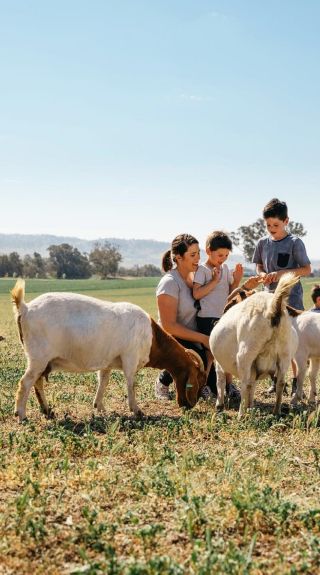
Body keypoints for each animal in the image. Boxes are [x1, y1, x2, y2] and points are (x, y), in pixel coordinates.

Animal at [210, 272, 300, 416]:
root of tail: (272, 307)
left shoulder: (219, 364)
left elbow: (221, 381)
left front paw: (219, 406)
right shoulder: (254, 367)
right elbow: (252, 386)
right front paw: (250, 407)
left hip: (245, 354)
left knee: (244, 384)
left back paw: (241, 415)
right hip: (284, 355)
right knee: (280, 383)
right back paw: (276, 412)